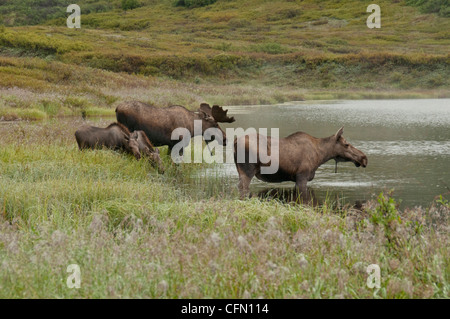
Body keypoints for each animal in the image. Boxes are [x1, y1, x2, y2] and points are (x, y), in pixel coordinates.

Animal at [234, 127, 368, 200]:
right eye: (346, 144)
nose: (364, 158)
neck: (321, 156)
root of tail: (234, 142)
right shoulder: (302, 176)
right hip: (248, 170)